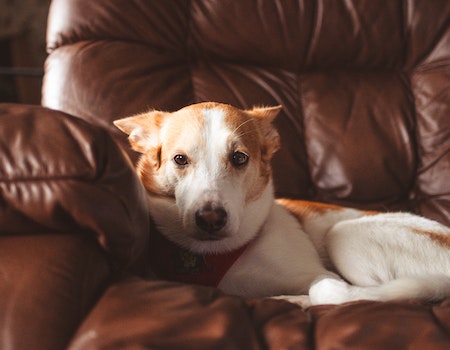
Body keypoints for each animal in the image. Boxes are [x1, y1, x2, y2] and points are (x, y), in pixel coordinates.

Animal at [114, 101, 450, 306]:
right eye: (180, 159)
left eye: (239, 158)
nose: (211, 219)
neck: (217, 255)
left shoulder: (323, 276)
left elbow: (331, 291)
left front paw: (294, 298)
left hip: (345, 234)